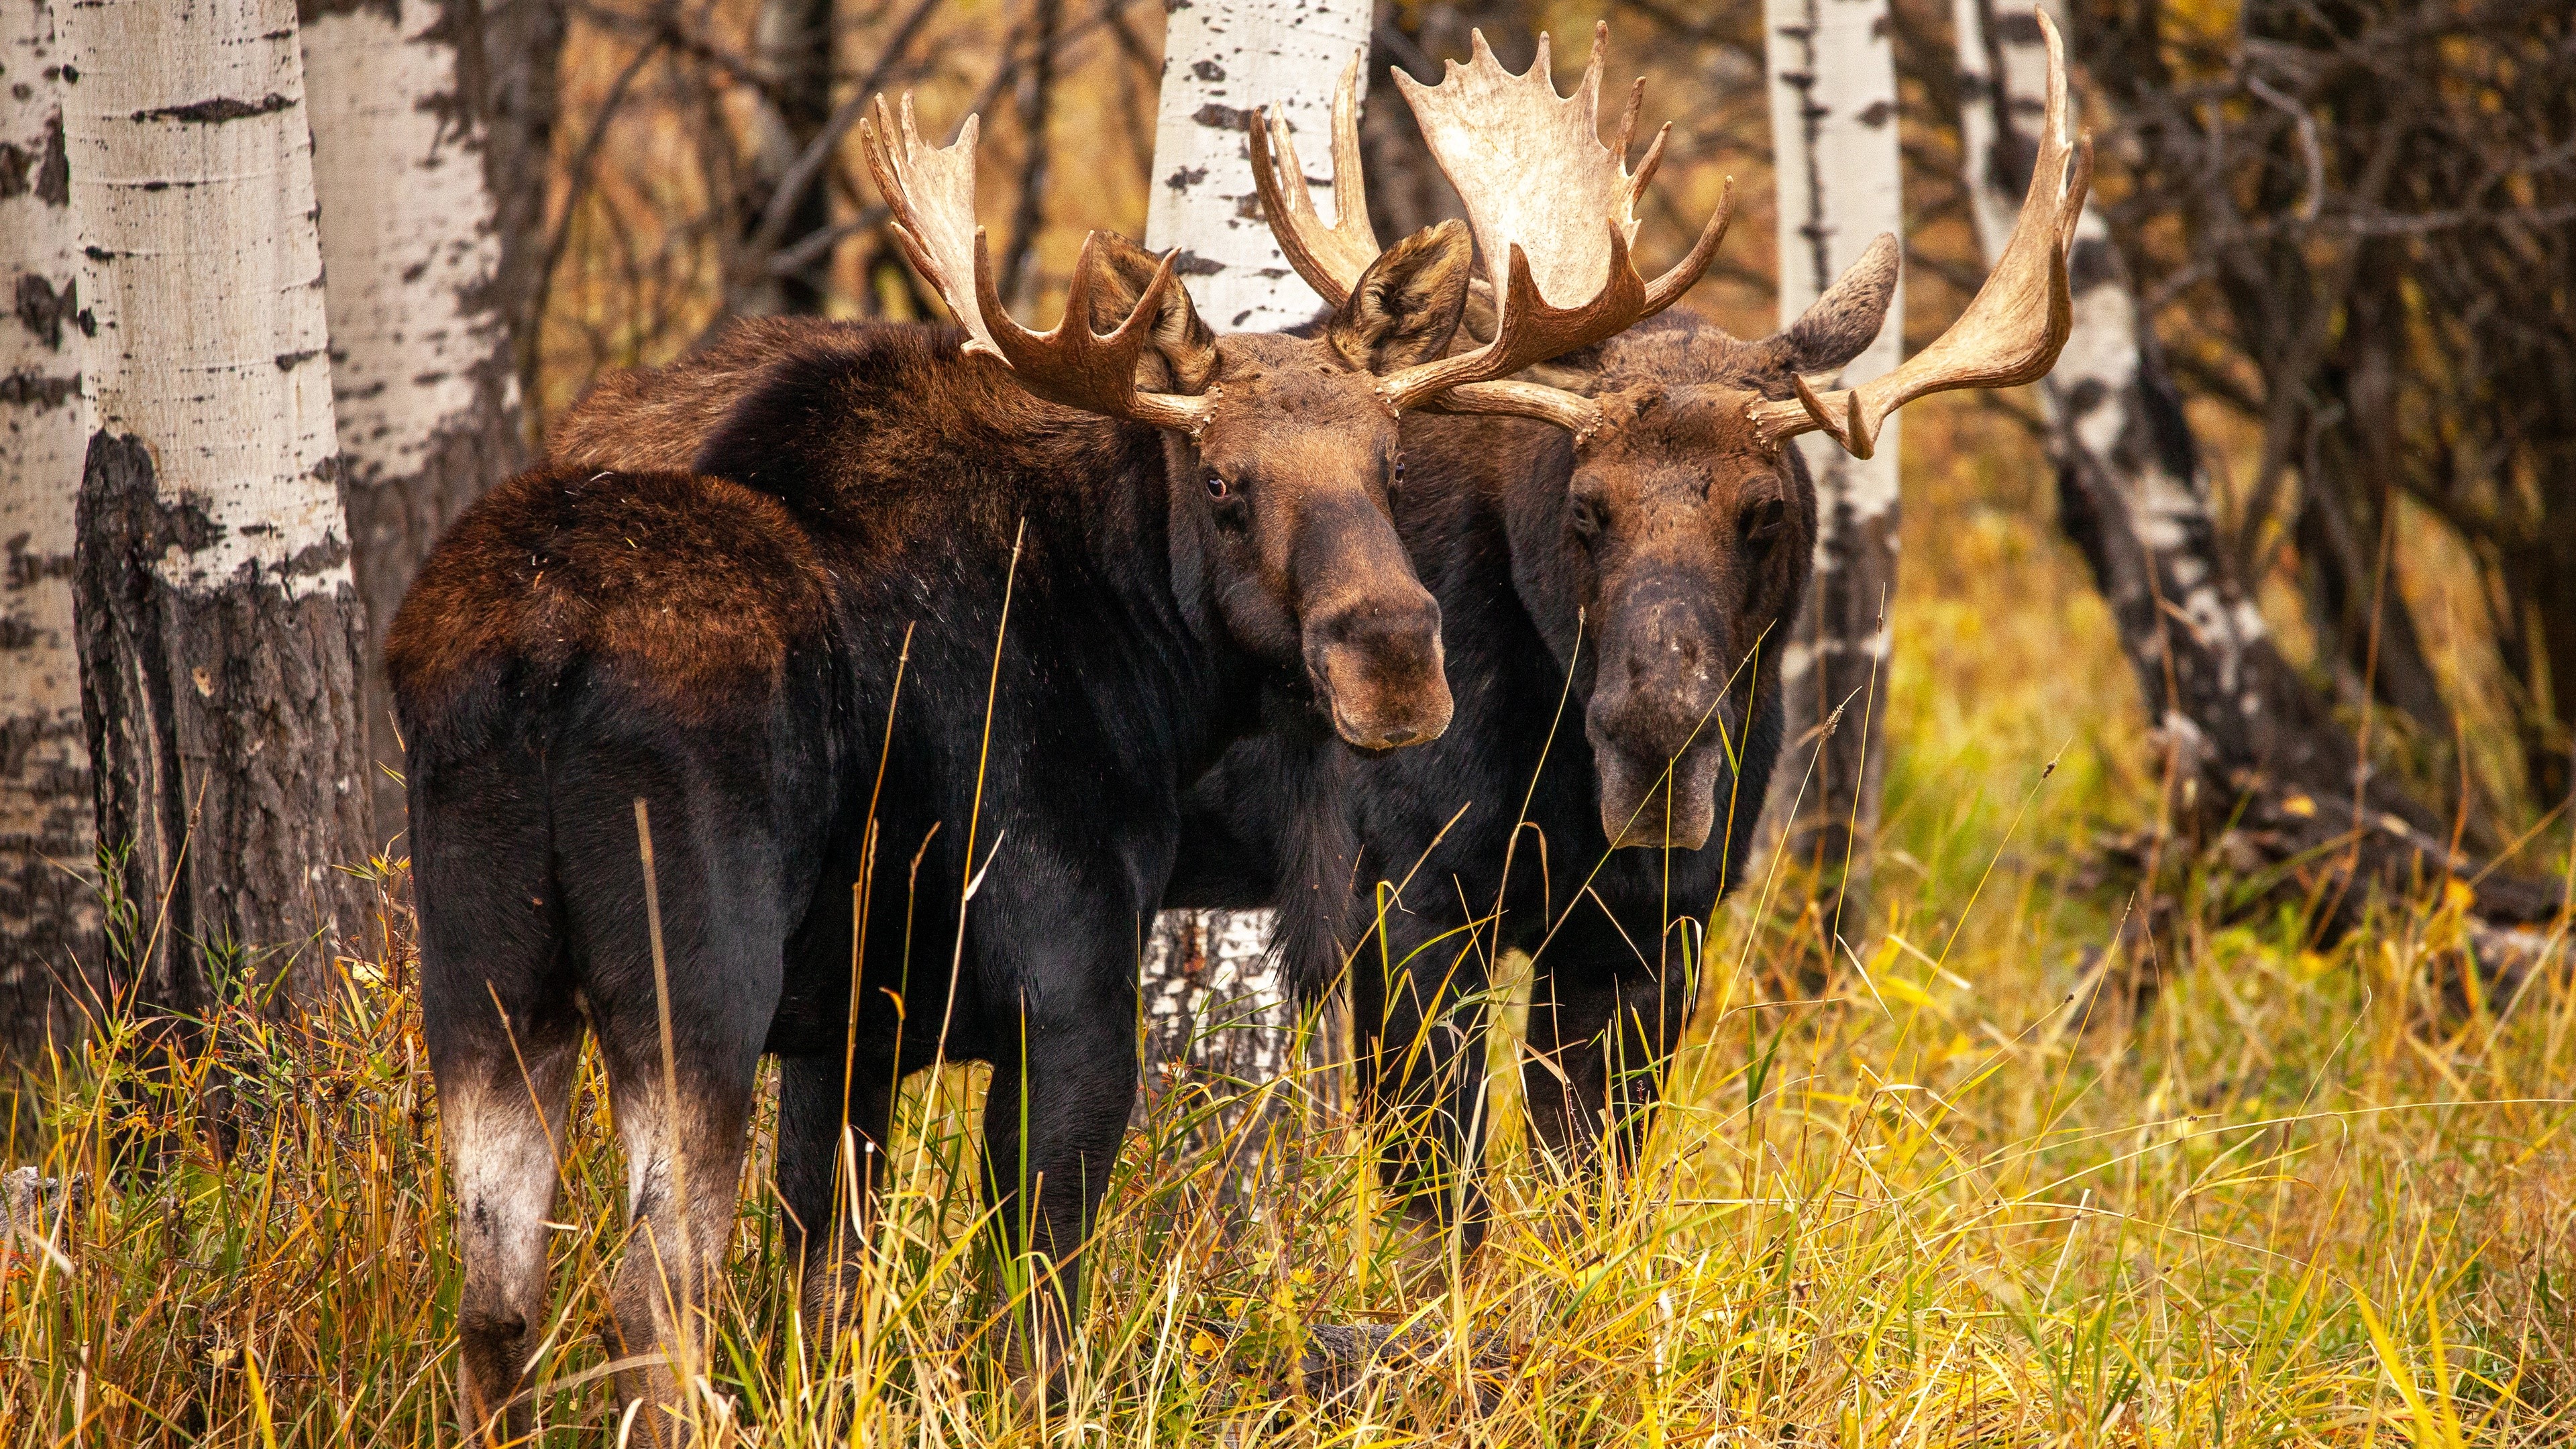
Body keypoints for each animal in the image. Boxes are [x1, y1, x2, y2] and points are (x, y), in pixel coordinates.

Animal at [392, 57, 1729, 1445]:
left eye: (1389, 463)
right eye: (1223, 484)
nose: (1397, 660)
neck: (1140, 655)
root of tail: (542, 654)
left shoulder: (852, 1030)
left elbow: (827, 1292)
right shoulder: (1072, 994)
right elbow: (1035, 1314)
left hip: (486, 977)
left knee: (497, 1296)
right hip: (692, 975)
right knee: (654, 1295)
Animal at [1160, 12, 2093, 1242]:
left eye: (1766, 509)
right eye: (1585, 504)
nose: (1656, 729)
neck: (1552, 781)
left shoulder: (1652, 932)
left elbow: (1587, 1192)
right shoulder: (1406, 903)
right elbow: (1443, 1206)